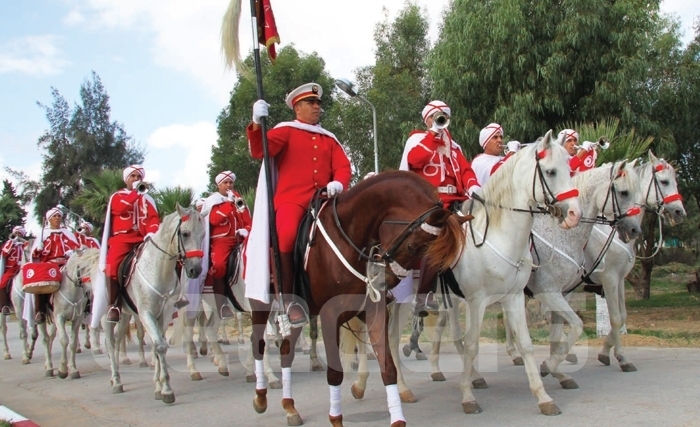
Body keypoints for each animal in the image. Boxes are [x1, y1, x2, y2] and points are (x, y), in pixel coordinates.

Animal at [246, 171, 470, 427]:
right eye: (415, 248)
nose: (384, 281)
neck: (351, 236)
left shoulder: (374, 311)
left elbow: (387, 367)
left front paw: (397, 419)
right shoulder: (330, 315)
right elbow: (335, 373)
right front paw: (336, 418)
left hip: (301, 314)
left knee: (286, 351)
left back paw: (290, 407)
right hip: (261, 305)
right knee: (258, 344)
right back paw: (261, 396)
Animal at [348, 132, 584, 416]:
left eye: (570, 170)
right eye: (550, 171)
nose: (574, 214)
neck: (496, 237)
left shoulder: (514, 297)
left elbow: (526, 345)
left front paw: (543, 397)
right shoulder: (476, 301)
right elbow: (471, 345)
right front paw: (468, 396)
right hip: (395, 298)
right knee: (382, 337)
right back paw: (381, 386)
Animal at [584, 154, 688, 372]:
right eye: (664, 182)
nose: (679, 212)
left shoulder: (620, 279)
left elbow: (622, 316)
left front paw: (606, 351)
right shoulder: (609, 278)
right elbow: (615, 318)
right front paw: (622, 358)